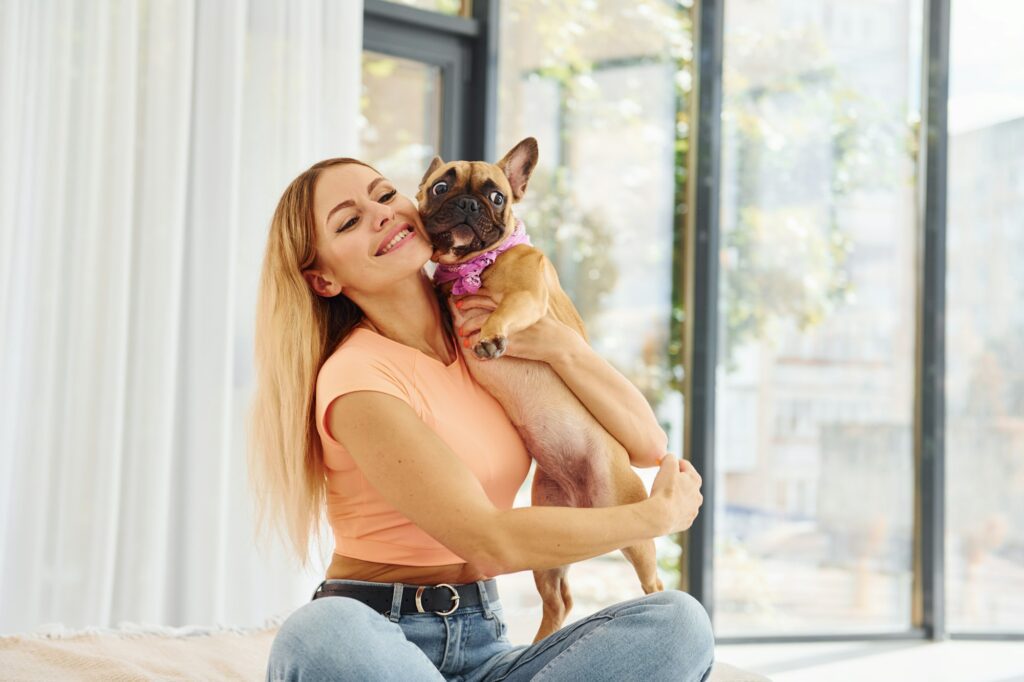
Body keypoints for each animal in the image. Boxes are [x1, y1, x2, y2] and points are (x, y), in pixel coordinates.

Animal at [415, 137, 663, 643]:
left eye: (496, 196)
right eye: (441, 187)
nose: (467, 203)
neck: (475, 263)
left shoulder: (526, 298)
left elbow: (505, 310)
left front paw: (491, 335)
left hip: (629, 520)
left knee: (652, 579)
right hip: (550, 537)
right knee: (559, 599)